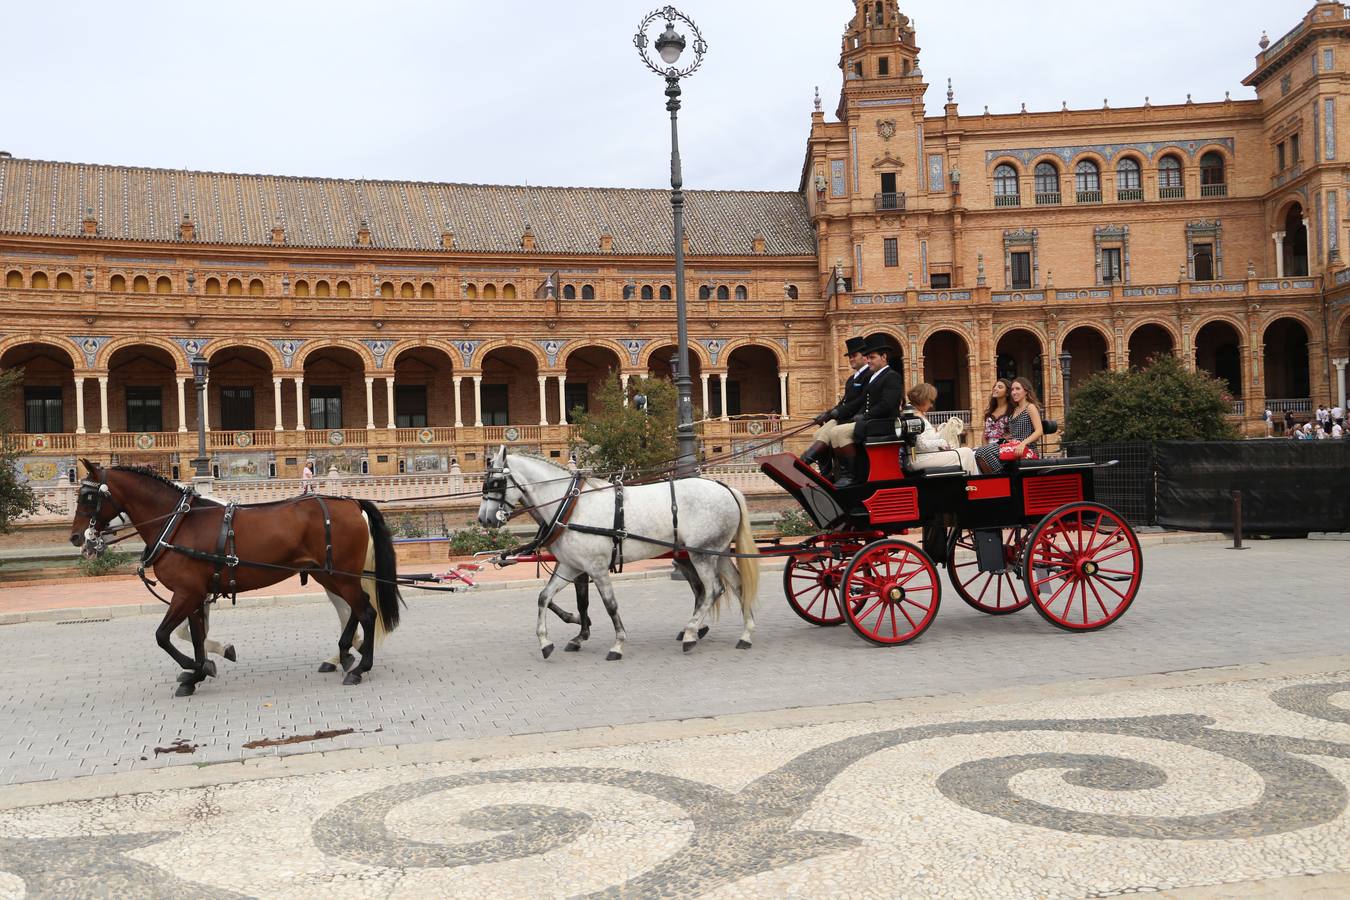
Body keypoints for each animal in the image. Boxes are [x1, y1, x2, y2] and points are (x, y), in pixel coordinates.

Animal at [70, 461, 399, 701]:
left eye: (88, 497)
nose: (76, 537)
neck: (178, 523)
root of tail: (353, 503)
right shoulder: (194, 595)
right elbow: (196, 636)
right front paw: (198, 672)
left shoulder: (186, 593)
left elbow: (163, 636)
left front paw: (196, 667)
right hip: (330, 575)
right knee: (355, 610)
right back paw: (345, 652)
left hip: (340, 576)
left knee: (366, 612)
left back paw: (359, 667)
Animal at [480, 450, 761, 661]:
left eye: (496, 483)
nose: (483, 519)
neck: (571, 506)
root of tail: (726, 488)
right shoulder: (571, 566)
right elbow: (544, 597)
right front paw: (546, 641)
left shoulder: (596, 567)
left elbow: (610, 605)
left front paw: (617, 643)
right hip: (717, 552)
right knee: (737, 585)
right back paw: (745, 634)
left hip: (701, 553)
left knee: (712, 589)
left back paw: (692, 632)